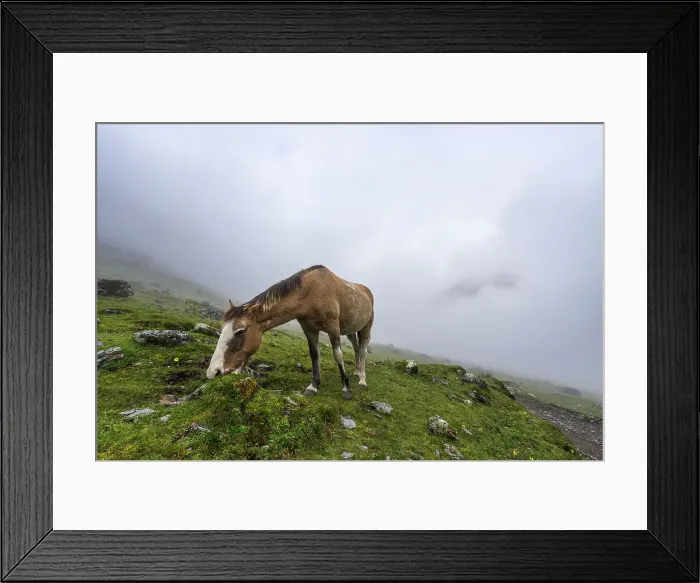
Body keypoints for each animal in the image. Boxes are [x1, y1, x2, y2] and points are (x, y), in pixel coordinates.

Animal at [206, 265, 374, 400]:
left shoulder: (333, 327)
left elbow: (338, 355)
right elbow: (314, 355)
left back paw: (362, 380)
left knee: (363, 350)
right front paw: (313, 386)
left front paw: (346, 389)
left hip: (366, 327)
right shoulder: (309, 328)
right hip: (351, 330)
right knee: (356, 348)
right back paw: (357, 372)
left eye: (240, 331)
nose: (213, 372)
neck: (312, 292)